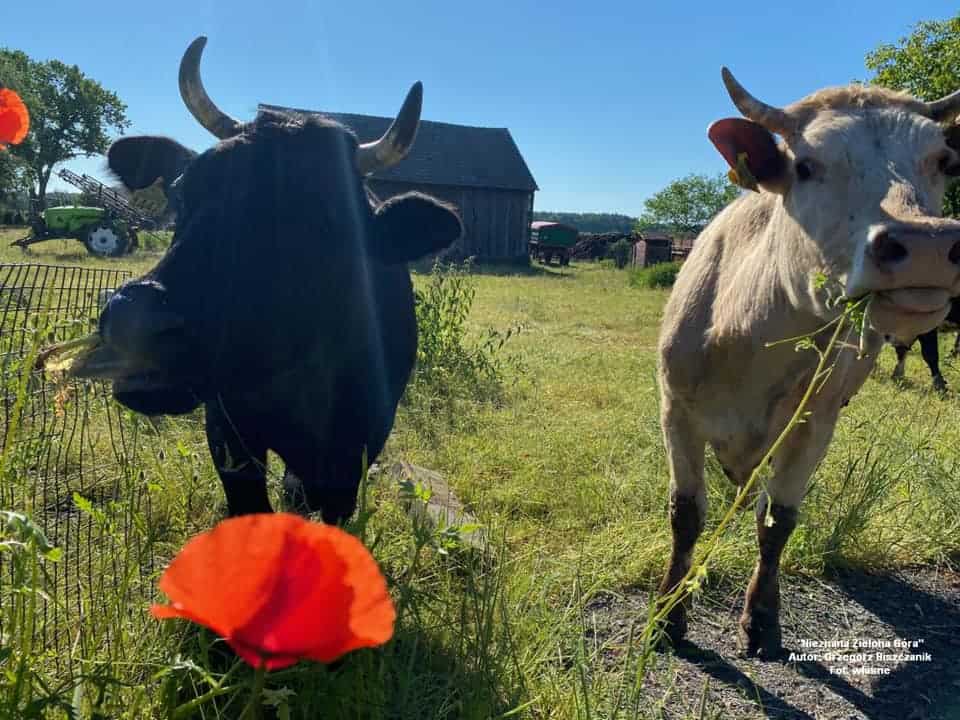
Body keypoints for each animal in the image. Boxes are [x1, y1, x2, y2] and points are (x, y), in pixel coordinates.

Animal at [656, 67, 960, 658]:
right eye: (806, 165)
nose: (926, 245)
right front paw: (667, 617)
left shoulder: (813, 425)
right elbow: (686, 516)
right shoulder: (676, 410)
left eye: (941, 160)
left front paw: (762, 619)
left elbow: (777, 521)